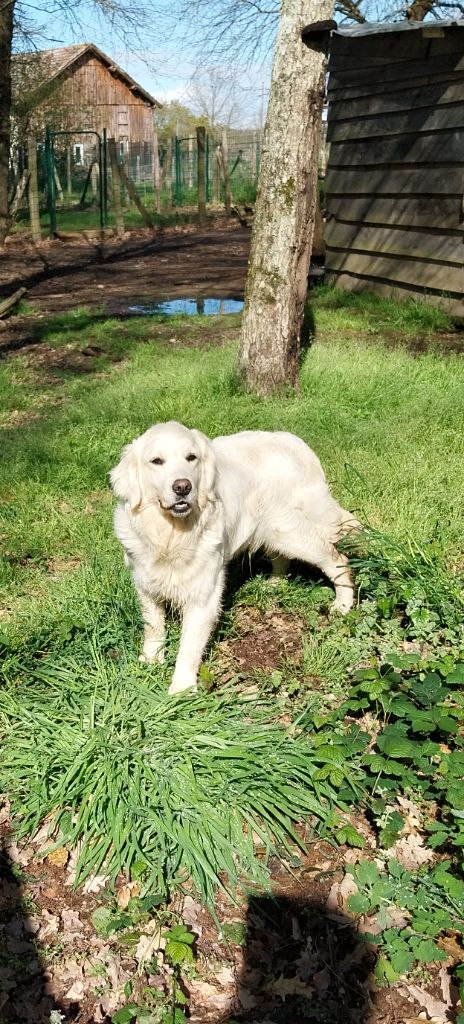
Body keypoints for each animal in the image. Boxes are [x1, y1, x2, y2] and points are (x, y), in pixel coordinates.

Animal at [110, 417, 356, 696]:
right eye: (156, 461)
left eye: (191, 457)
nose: (183, 487)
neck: (171, 536)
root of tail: (295, 442)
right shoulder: (145, 583)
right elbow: (153, 626)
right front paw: (150, 661)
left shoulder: (204, 595)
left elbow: (189, 646)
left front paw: (181, 689)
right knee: (283, 558)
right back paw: (274, 584)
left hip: (291, 532)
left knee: (338, 560)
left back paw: (343, 605)